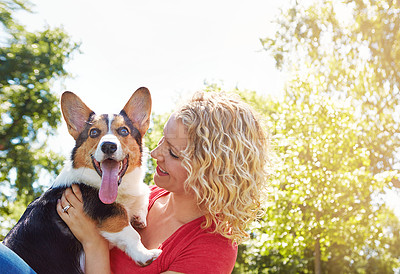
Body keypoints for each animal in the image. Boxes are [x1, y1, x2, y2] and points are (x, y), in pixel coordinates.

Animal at [2, 88, 161, 274]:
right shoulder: (104, 208)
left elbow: (143, 198)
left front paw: (138, 217)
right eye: (94, 132)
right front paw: (145, 255)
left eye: (123, 131)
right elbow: (127, 228)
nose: (108, 146)